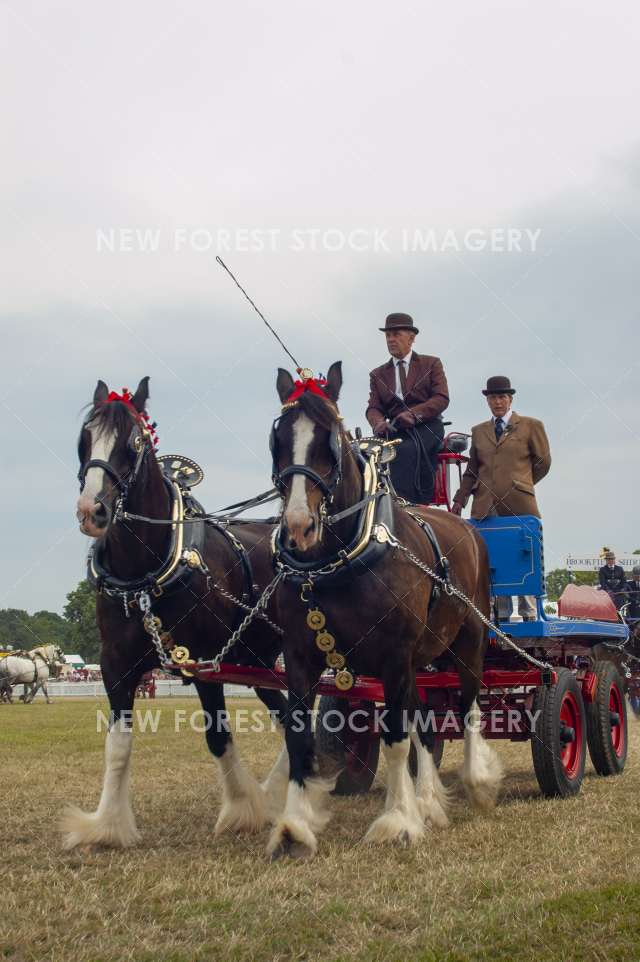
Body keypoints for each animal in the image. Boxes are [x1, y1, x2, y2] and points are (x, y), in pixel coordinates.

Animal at [62, 378, 288, 852]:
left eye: (133, 442)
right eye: (83, 439)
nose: (92, 511)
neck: (146, 573)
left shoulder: (205, 663)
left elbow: (218, 736)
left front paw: (240, 810)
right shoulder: (115, 665)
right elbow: (118, 745)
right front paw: (107, 825)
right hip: (259, 660)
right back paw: (276, 790)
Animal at [268, 366, 502, 856]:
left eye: (331, 440)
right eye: (278, 439)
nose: (299, 526)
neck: (337, 562)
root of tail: (467, 528)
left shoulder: (394, 656)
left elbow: (396, 739)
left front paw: (398, 821)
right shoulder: (299, 656)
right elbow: (299, 737)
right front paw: (294, 826)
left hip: (468, 641)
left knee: (469, 707)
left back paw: (477, 783)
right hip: (420, 659)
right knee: (426, 725)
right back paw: (429, 801)